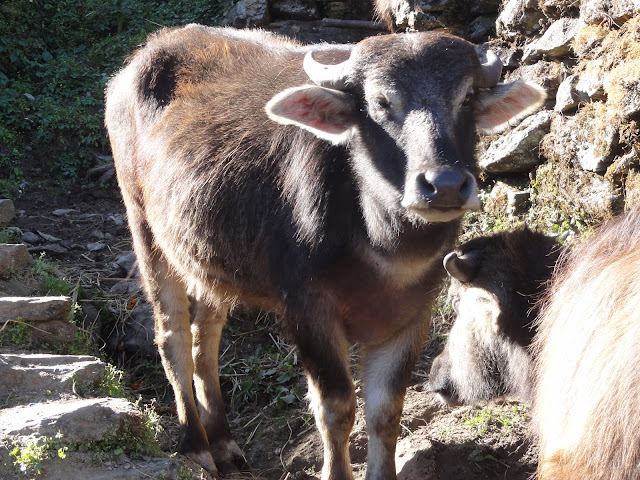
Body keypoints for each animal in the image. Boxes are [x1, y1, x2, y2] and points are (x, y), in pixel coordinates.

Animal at [105, 24, 545, 479]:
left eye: (466, 98)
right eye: (380, 102)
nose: (443, 185)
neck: (381, 249)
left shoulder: (412, 316)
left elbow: (386, 410)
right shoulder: (307, 310)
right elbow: (336, 406)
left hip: (209, 261)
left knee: (203, 338)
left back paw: (223, 441)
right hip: (145, 231)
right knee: (172, 339)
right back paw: (196, 445)